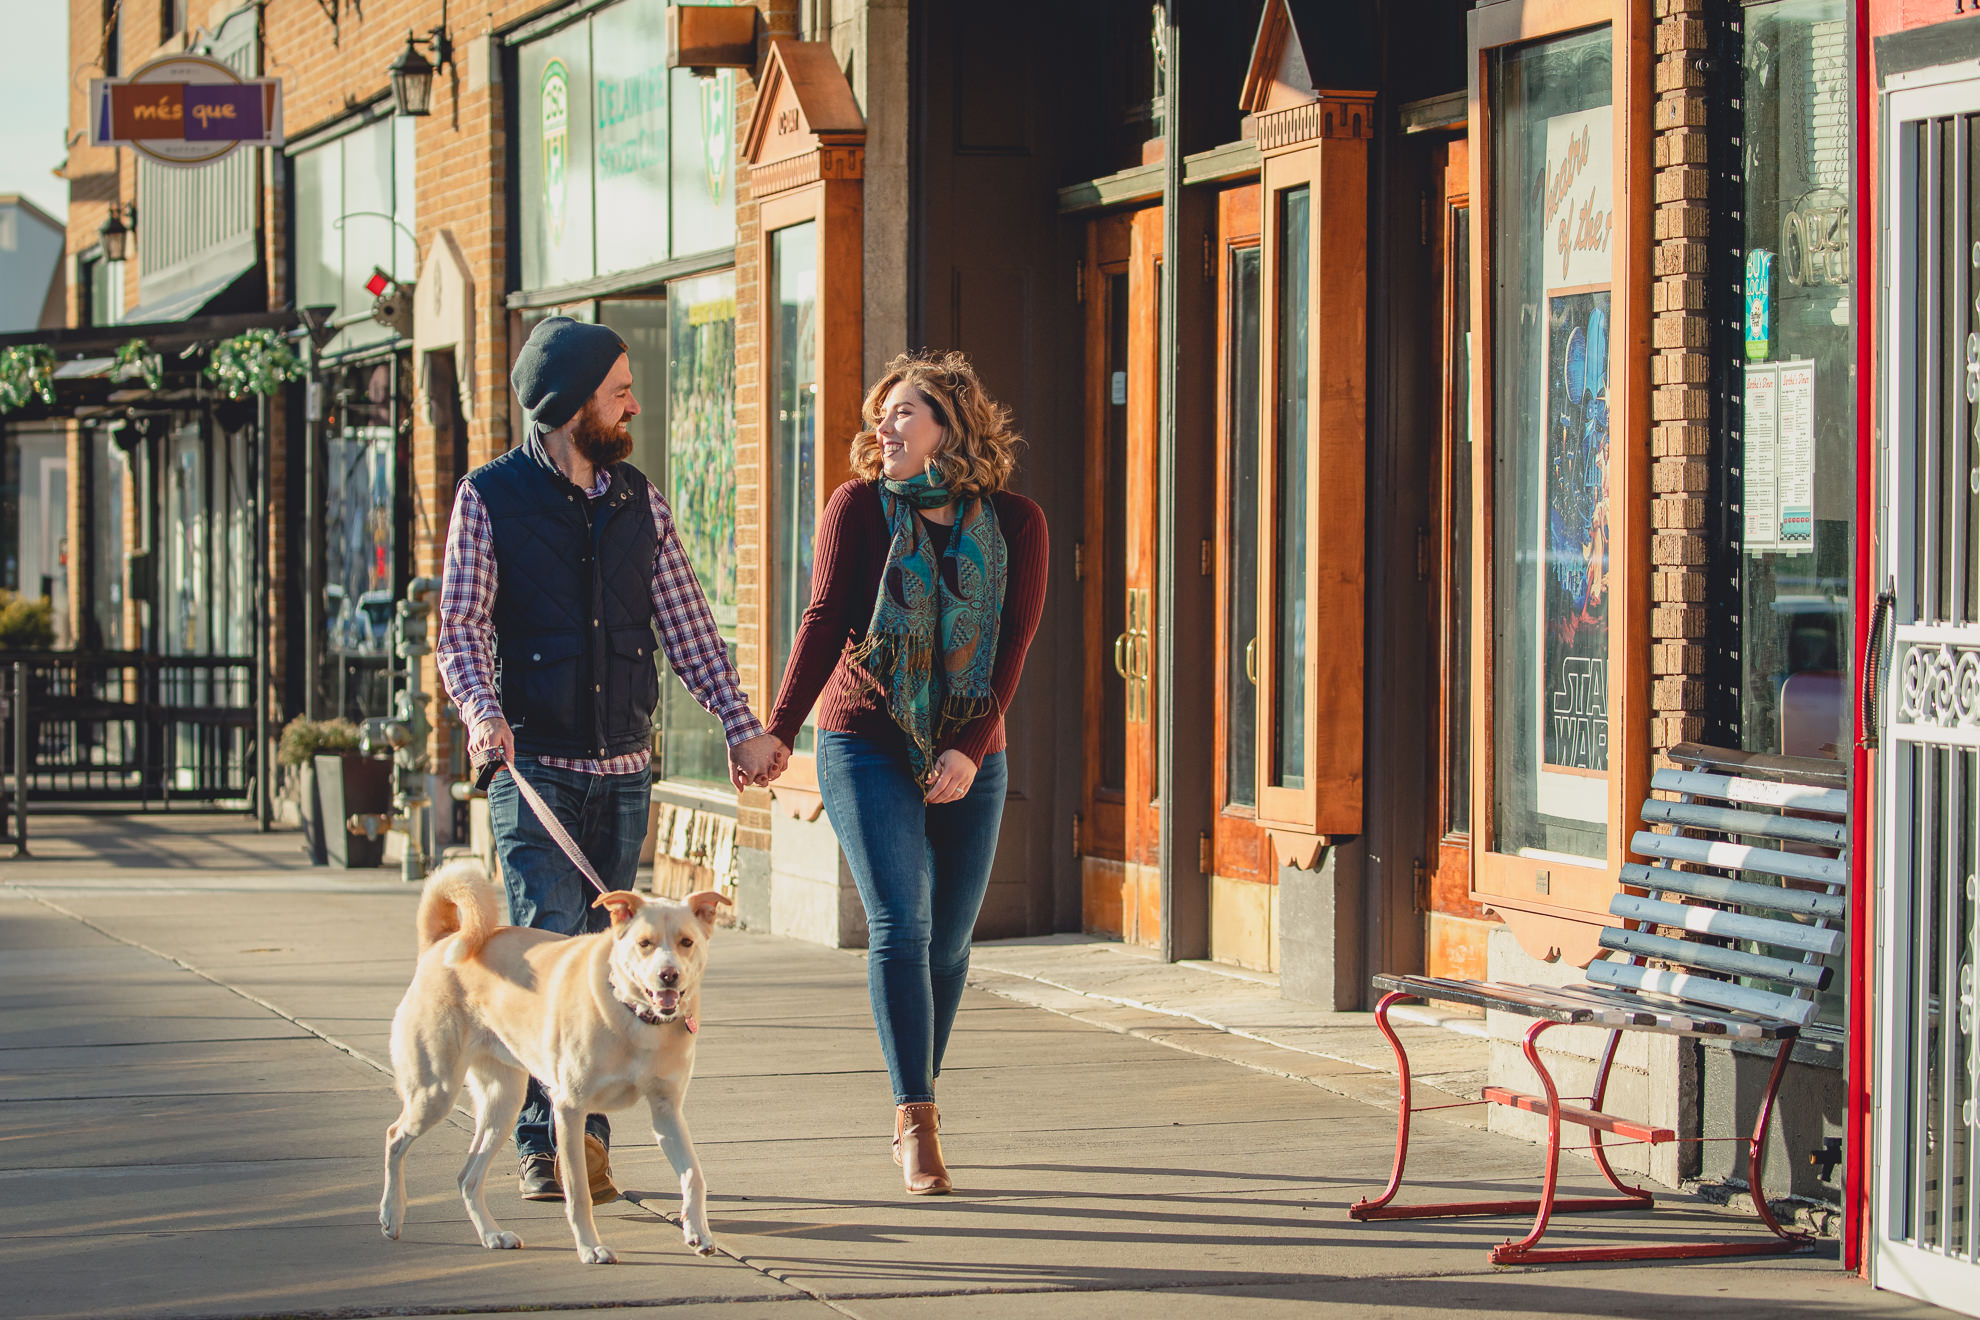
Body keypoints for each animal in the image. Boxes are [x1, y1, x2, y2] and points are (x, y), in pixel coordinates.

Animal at [372, 862, 728, 1266]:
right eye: (644, 944)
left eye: (686, 942)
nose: (668, 975)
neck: (634, 1014)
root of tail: (442, 942)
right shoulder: (569, 1108)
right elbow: (577, 1189)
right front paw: (590, 1246)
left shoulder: (667, 1111)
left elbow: (693, 1174)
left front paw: (699, 1231)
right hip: (437, 1088)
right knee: (395, 1136)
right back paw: (391, 1214)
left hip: (502, 1103)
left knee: (467, 1176)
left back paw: (492, 1235)